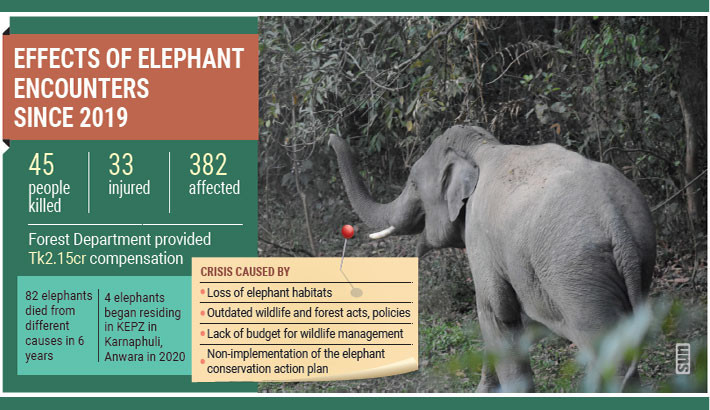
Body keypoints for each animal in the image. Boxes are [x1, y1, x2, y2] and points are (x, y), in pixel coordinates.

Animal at [329, 125, 655, 392]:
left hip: (579, 275)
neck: (482, 148)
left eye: (413, 183)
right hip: (635, 261)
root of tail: (616, 222)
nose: (331, 136)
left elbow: (494, 313)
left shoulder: (481, 241)